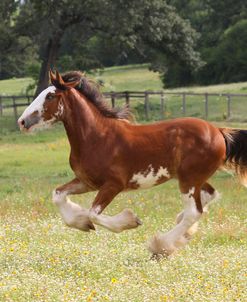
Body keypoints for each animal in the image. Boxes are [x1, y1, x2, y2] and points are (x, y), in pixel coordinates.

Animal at [17, 70, 247, 258]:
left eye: (50, 95)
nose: (22, 121)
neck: (96, 137)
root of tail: (219, 131)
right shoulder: (86, 182)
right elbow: (58, 195)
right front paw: (81, 223)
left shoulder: (114, 184)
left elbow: (94, 213)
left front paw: (129, 221)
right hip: (192, 177)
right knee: (208, 197)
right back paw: (179, 235)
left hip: (189, 179)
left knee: (194, 212)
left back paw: (160, 246)